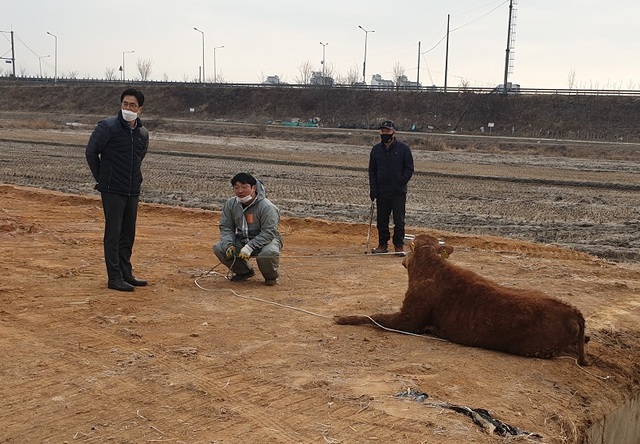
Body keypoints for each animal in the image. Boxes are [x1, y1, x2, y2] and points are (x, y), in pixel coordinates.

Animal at [336, 234, 592, 366]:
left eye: (409, 249)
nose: (402, 258)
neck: (430, 269)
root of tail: (571, 311)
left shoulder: (409, 319)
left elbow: (373, 316)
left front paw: (341, 318)